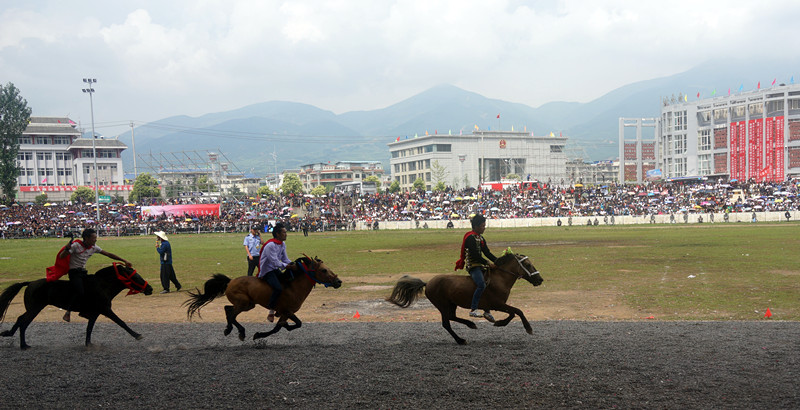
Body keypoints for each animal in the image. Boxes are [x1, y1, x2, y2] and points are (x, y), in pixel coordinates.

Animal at [0, 262, 153, 350]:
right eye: (135, 277)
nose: (150, 289)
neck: (102, 286)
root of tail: (30, 283)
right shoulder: (105, 310)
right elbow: (121, 322)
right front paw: (137, 335)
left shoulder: (95, 312)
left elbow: (89, 328)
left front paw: (88, 344)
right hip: (35, 308)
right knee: (23, 321)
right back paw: (23, 345)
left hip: (33, 308)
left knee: (21, 320)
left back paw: (13, 337)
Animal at [184, 256, 340, 340]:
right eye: (324, 270)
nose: (339, 282)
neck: (293, 287)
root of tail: (230, 281)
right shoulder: (286, 311)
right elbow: (288, 325)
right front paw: (258, 335)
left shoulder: (285, 313)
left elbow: (285, 326)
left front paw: (285, 327)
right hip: (243, 303)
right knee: (232, 315)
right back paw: (240, 332)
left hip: (248, 304)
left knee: (227, 309)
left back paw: (229, 329)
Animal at [386, 251, 544, 344]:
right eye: (527, 264)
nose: (540, 280)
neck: (500, 278)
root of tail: (428, 283)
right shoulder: (498, 304)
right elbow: (518, 311)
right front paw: (528, 328)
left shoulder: (498, 305)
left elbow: (512, 313)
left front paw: (499, 322)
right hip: (442, 305)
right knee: (446, 323)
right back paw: (461, 339)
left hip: (451, 304)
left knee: (451, 317)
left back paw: (470, 324)